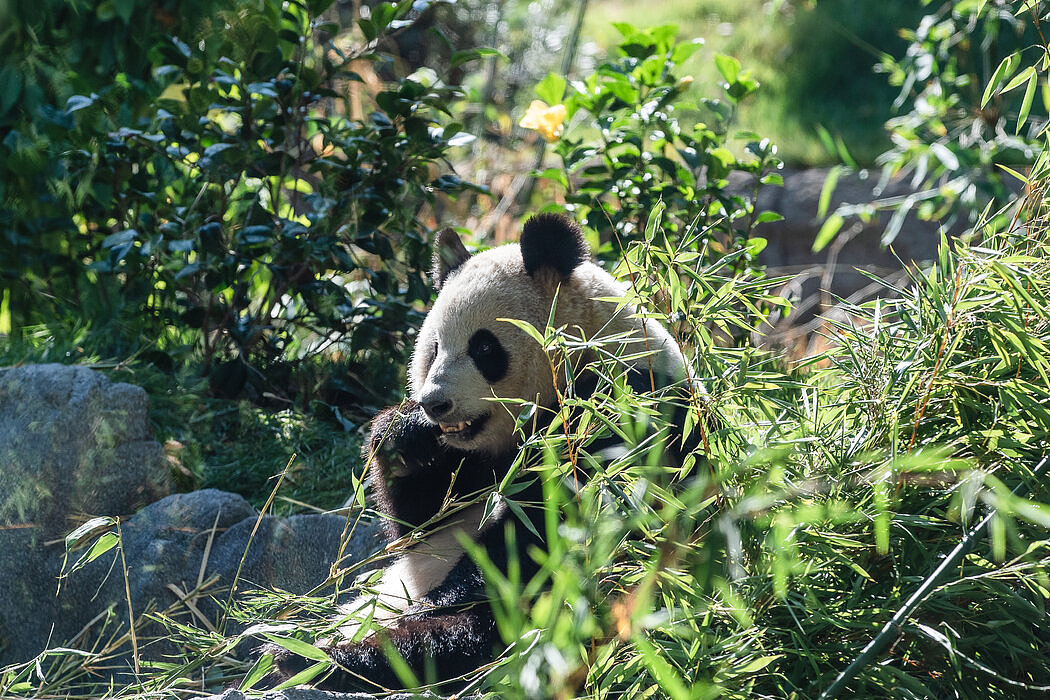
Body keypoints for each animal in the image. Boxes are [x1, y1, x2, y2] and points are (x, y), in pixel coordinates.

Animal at [268, 211, 688, 688]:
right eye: (433, 348)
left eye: (484, 347)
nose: (434, 404)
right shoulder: (468, 462)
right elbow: (419, 526)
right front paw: (402, 436)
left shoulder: (621, 411)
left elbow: (546, 531)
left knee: (465, 639)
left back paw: (324, 658)